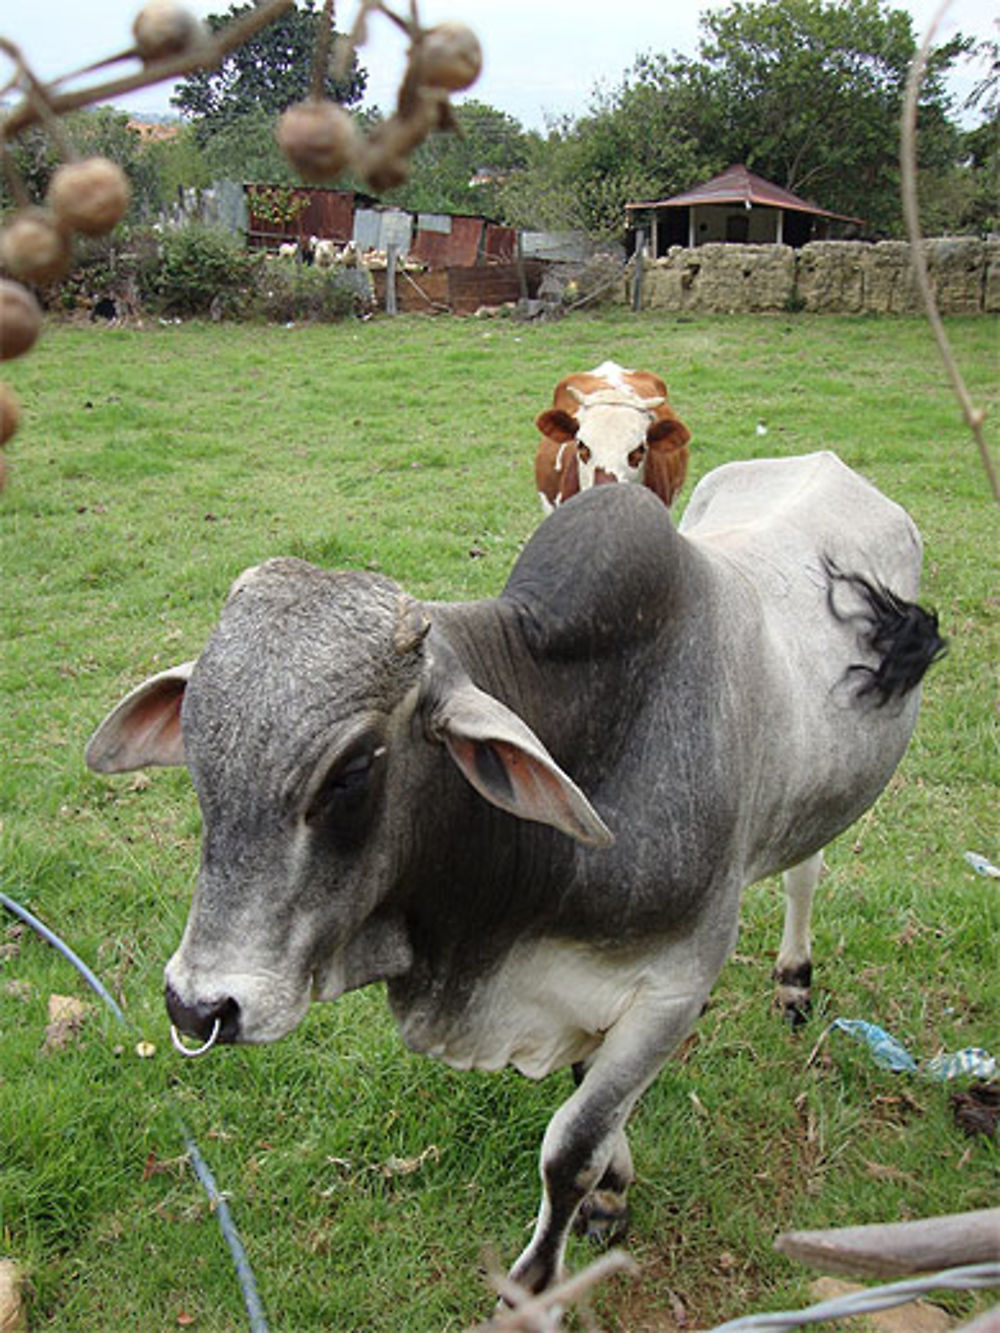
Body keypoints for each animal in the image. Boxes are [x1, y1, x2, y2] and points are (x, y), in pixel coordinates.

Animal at [86, 453, 949, 1295]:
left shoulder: (673, 987)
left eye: (352, 770)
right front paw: (613, 1194)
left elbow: (570, 1147)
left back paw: (794, 980)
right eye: (196, 741)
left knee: (806, 872)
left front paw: (539, 1281)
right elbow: (587, 1100)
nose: (198, 1006)